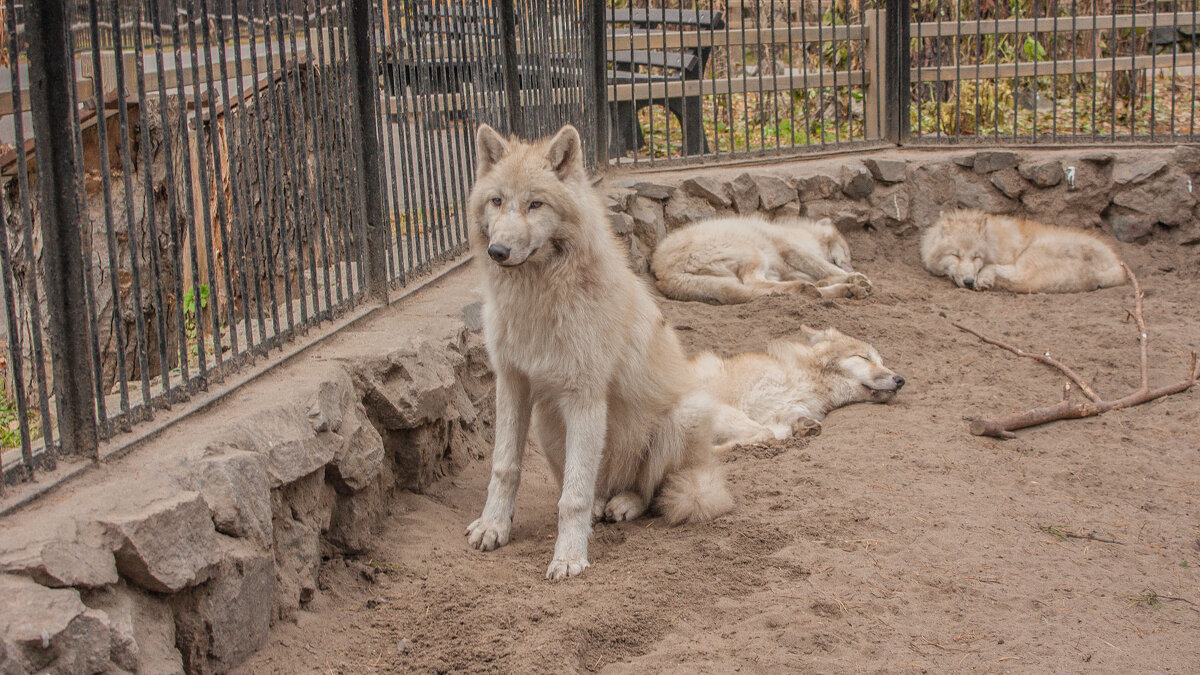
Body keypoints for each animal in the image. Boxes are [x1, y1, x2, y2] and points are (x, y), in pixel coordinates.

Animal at [465, 124, 729, 578]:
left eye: (536, 203)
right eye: (497, 200)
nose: (497, 251)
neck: (537, 300)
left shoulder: (585, 398)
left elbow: (572, 498)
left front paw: (569, 557)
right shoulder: (513, 384)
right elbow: (505, 468)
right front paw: (493, 526)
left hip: (682, 418)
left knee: (648, 492)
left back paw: (622, 504)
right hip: (548, 426)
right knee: (596, 489)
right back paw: (602, 506)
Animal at [652, 214, 878, 302]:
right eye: (847, 254)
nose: (851, 267)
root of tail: (663, 273)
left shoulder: (790, 268)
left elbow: (822, 273)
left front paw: (850, 280)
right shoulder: (793, 249)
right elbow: (825, 267)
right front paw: (857, 277)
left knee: (758, 292)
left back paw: (844, 290)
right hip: (755, 254)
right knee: (755, 285)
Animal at [691, 324, 902, 449]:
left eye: (881, 362)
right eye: (864, 358)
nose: (900, 380)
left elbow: (774, 429)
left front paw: (800, 428)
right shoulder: (718, 405)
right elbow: (765, 432)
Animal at [916, 207, 1123, 291]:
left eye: (976, 257)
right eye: (956, 255)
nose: (968, 281)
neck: (995, 242)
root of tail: (1120, 268)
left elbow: (991, 266)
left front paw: (983, 277)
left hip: (1032, 255)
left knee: (1019, 278)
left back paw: (986, 279)